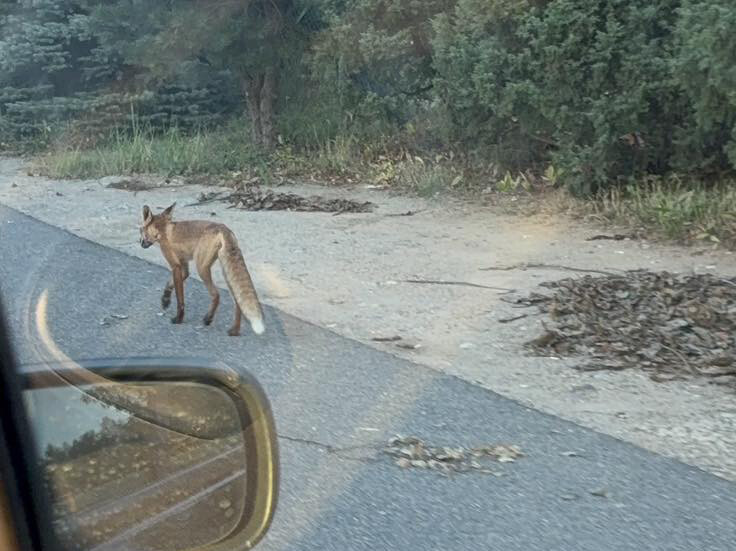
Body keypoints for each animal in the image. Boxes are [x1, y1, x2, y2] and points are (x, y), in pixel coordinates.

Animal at [139, 202, 265, 336]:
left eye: (140, 230)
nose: (140, 243)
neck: (162, 230)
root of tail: (223, 228)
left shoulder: (175, 266)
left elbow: (180, 300)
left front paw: (179, 318)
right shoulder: (184, 267)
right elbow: (169, 284)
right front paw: (165, 300)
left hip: (202, 268)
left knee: (216, 294)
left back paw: (209, 318)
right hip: (227, 273)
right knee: (238, 302)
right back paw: (234, 330)